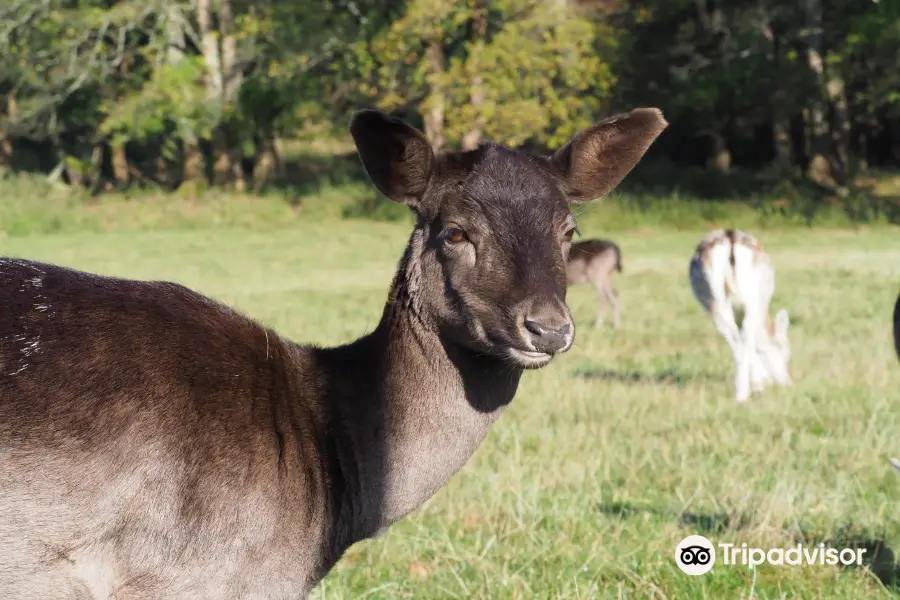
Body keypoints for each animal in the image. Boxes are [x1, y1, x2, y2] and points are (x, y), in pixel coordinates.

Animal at [684, 230, 792, 404]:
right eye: (788, 354)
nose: (787, 383)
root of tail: (730, 240)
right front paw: (761, 381)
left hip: (714, 301)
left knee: (736, 342)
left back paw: (741, 396)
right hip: (753, 299)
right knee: (746, 338)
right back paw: (752, 390)